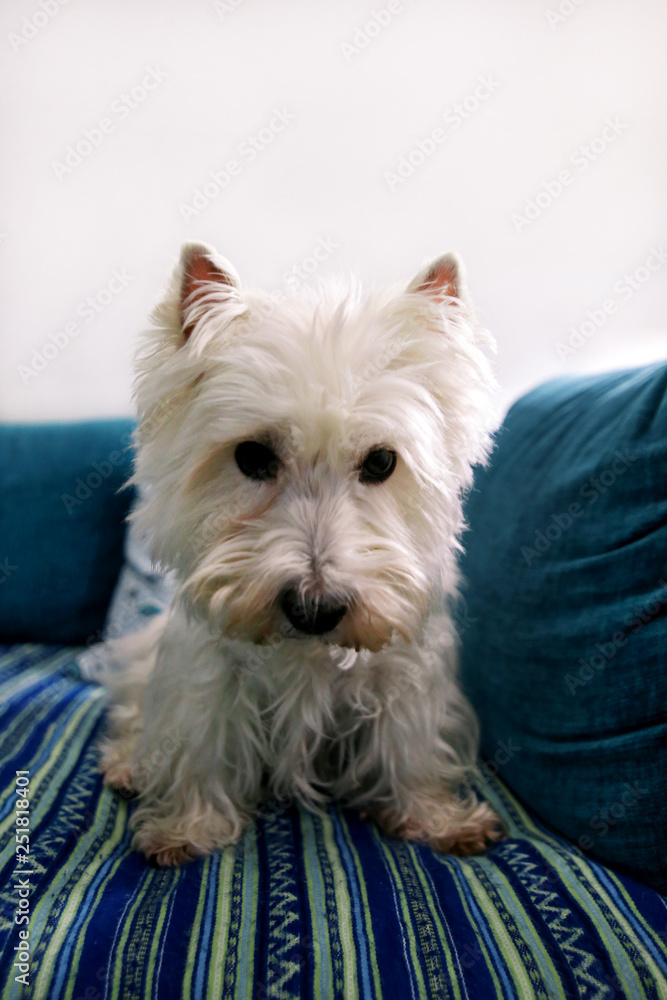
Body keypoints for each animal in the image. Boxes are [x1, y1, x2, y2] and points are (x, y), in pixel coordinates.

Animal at [99, 242, 500, 868]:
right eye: (252, 456)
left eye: (381, 462)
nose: (315, 609)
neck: (306, 656)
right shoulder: (207, 672)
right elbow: (200, 742)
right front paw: (188, 826)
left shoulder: (406, 674)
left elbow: (409, 748)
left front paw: (436, 817)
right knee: (137, 712)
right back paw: (127, 766)